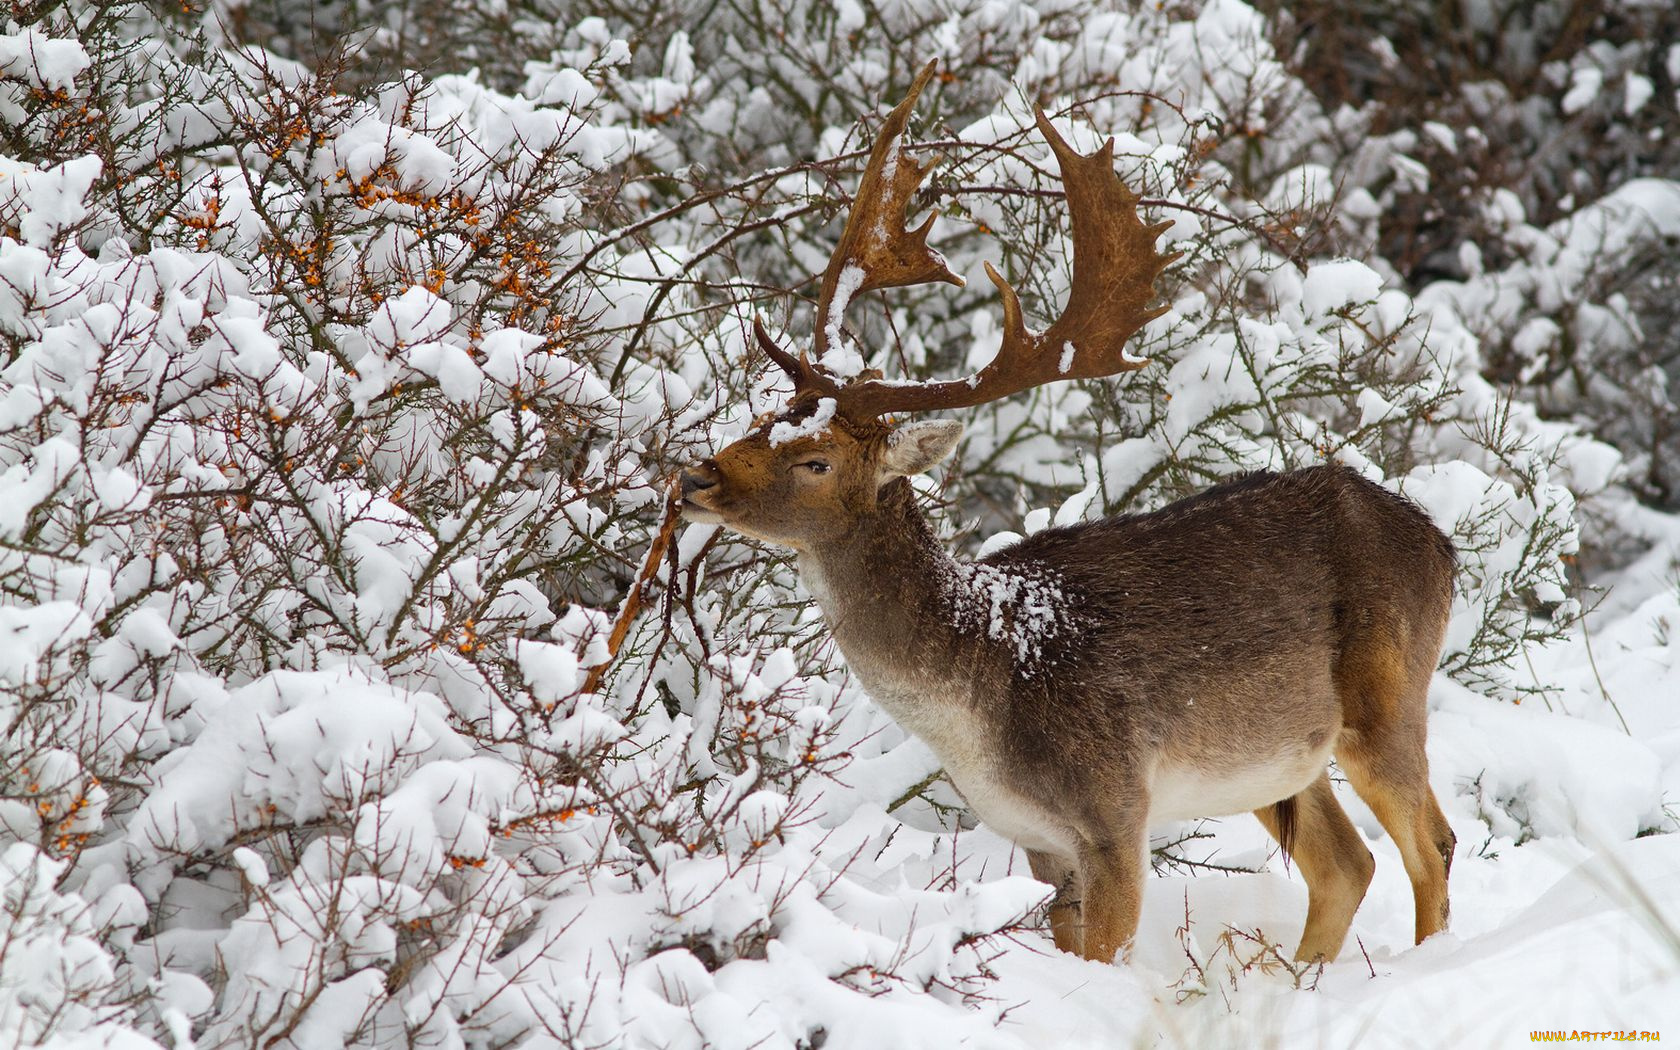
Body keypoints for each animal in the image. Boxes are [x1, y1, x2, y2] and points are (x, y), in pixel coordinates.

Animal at [678, 63, 1458, 967]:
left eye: (816, 461)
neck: (980, 690)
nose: (695, 478)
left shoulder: (1114, 806)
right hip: (1279, 759)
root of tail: (1443, 547)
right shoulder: (1036, 839)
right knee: (1346, 862)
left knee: (1432, 843)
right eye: (767, 417)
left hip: (1388, 695)